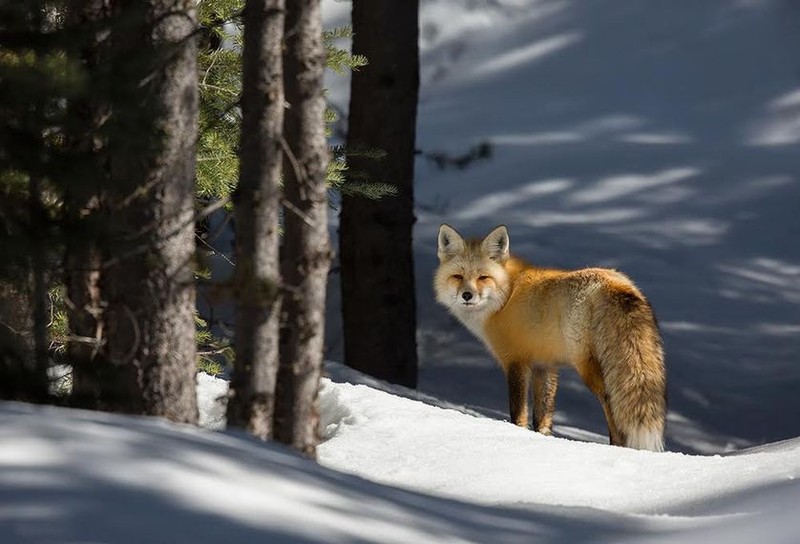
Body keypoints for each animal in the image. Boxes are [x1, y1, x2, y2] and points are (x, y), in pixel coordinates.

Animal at [434, 223, 664, 452]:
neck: (506, 297)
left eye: (483, 277)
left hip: (588, 368)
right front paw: (543, 439)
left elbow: (518, 412)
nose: (467, 295)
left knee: (612, 404)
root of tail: (616, 284)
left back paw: (618, 447)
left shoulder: (516, 361)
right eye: (458, 277)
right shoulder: (544, 364)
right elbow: (542, 416)